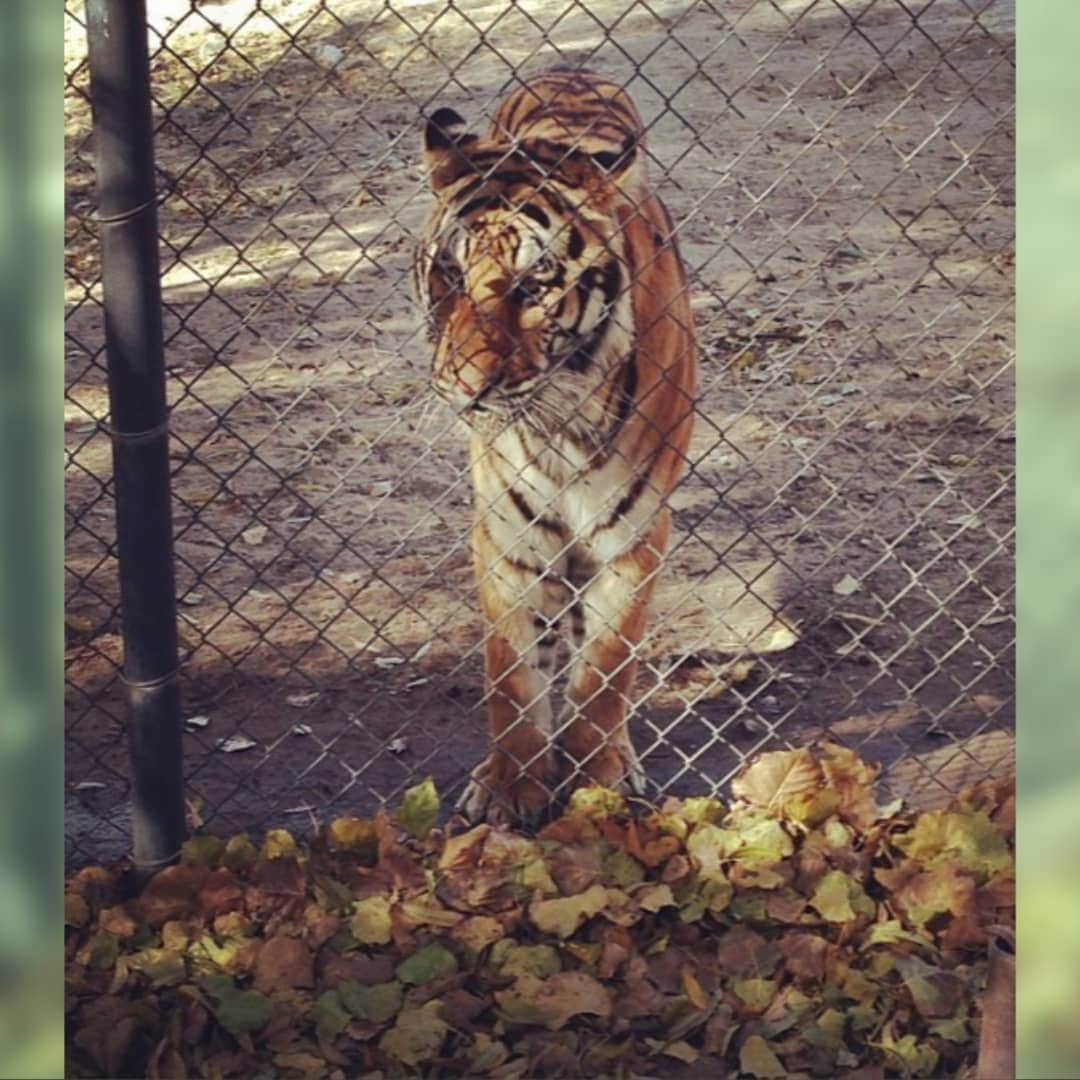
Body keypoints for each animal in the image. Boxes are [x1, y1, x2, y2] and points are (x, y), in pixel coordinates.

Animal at [408, 67, 695, 825]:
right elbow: (510, 676)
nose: (465, 387)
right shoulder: (509, 538)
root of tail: (572, 69)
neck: (559, 418)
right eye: (449, 273)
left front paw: (598, 785)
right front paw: (510, 790)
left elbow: (605, 675)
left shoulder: (633, 538)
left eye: (533, 284)